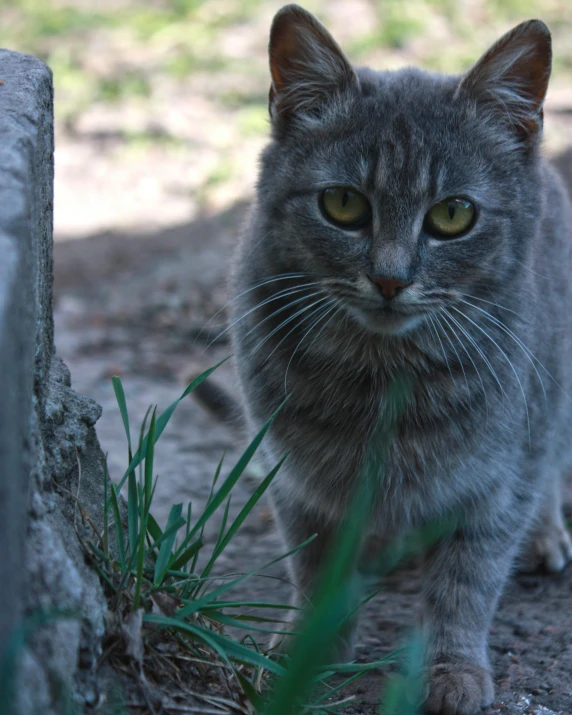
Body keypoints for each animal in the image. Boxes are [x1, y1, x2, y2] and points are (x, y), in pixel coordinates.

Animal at [228, 7, 572, 715]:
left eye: (453, 214)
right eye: (343, 204)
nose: (390, 279)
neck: (382, 378)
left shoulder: (499, 478)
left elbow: (466, 580)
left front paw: (452, 669)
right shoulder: (298, 477)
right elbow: (315, 569)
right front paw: (305, 653)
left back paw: (545, 534)